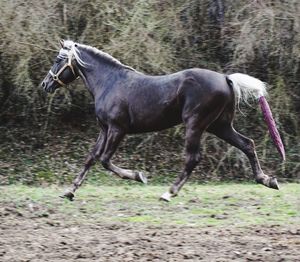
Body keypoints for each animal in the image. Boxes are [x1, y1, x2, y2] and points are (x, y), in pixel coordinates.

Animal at [41, 40, 284, 202]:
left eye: (58, 60)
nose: (45, 84)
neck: (110, 83)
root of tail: (226, 78)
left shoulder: (118, 129)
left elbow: (105, 160)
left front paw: (139, 176)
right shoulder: (104, 128)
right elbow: (91, 158)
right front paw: (69, 191)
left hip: (195, 124)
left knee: (193, 158)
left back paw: (169, 192)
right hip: (219, 125)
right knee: (247, 144)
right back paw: (268, 180)